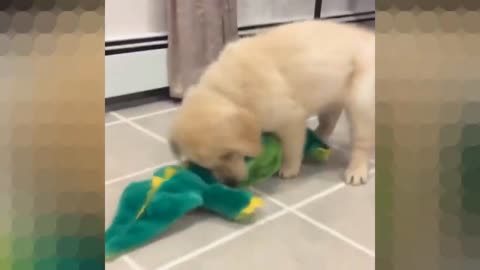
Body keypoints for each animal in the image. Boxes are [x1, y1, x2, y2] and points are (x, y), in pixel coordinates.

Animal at [169, 20, 376, 187]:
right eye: (209, 165)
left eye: (227, 155)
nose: (231, 184)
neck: (228, 92)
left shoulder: (291, 121)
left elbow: (291, 149)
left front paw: (289, 169)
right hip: (332, 94)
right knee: (329, 121)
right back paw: (318, 136)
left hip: (360, 101)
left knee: (362, 142)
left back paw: (356, 171)